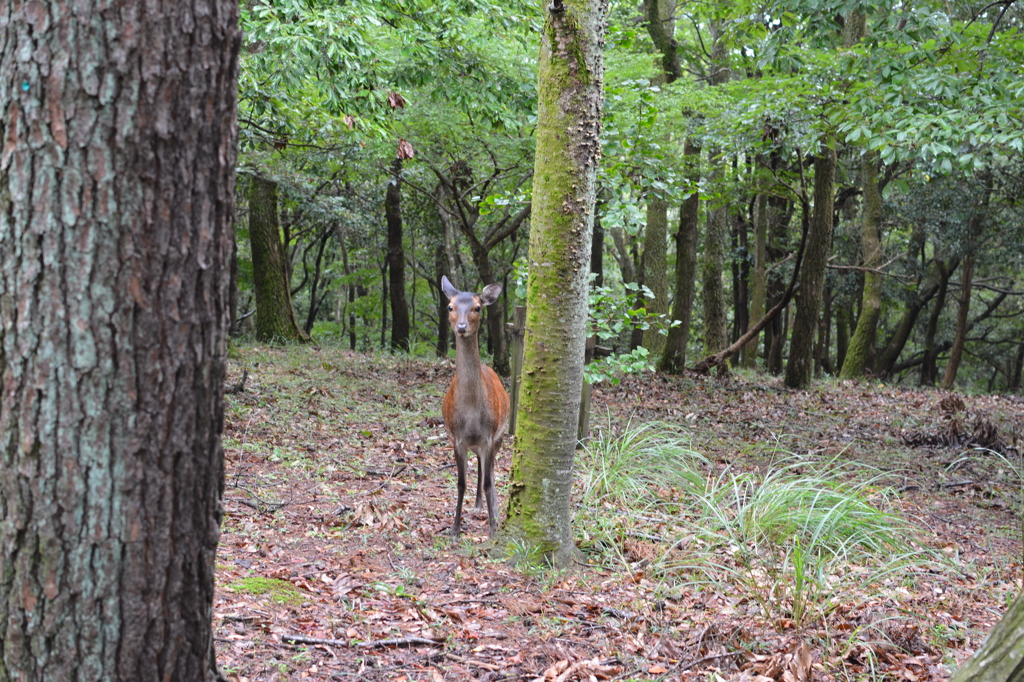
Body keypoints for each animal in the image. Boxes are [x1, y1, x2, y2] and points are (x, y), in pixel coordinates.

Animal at [440, 272, 507, 536]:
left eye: (477, 307)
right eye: (450, 306)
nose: (461, 327)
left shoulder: (489, 436)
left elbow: (488, 481)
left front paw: (493, 528)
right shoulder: (457, 438)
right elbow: (460, 483)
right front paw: (455, 529)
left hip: (500, 434)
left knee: (490, 471)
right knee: (480, 466)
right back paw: (478, 505)